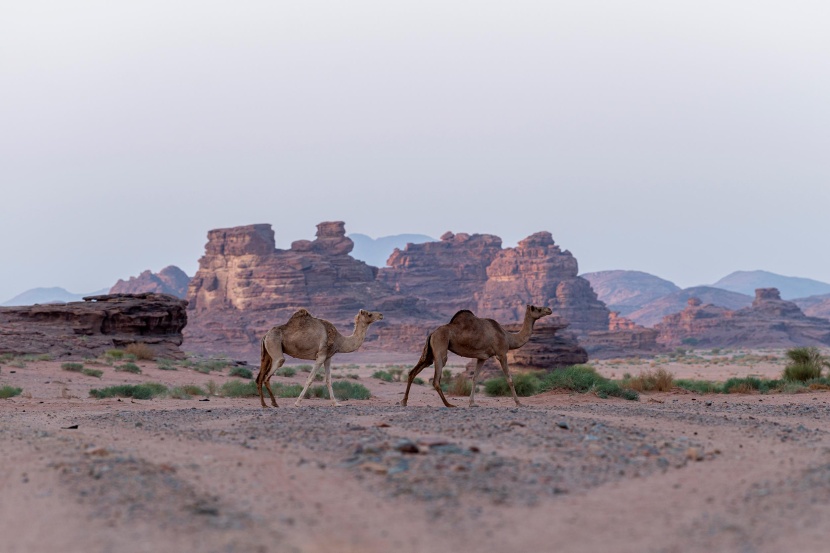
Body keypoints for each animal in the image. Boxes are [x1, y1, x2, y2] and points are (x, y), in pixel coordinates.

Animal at [256, 308, 384, 408]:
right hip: (275, 347)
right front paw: (297, 403)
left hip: (267, 354)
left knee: (260, 377)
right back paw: (273, 403)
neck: (340, 340)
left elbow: (328, 380)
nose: (381, 315)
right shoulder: (321, 355)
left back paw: (265, 404)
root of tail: (265, 335)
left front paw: (335, 403)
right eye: (369, 314)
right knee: (269, 374)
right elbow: (310, 379)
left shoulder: (328, 358)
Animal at [402, 304, 552, 408]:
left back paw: (404, 402)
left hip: (429, 353)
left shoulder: (482, 357)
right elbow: (509, 379)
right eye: (537, 308)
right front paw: (519, 403)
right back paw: (449, 404)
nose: (549, 310)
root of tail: (432, 333)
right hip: (440, 346)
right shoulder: (501, 353)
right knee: (436, 378)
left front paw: (472, 403)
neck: (508, 337)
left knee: (413, 371)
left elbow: (474, 378)